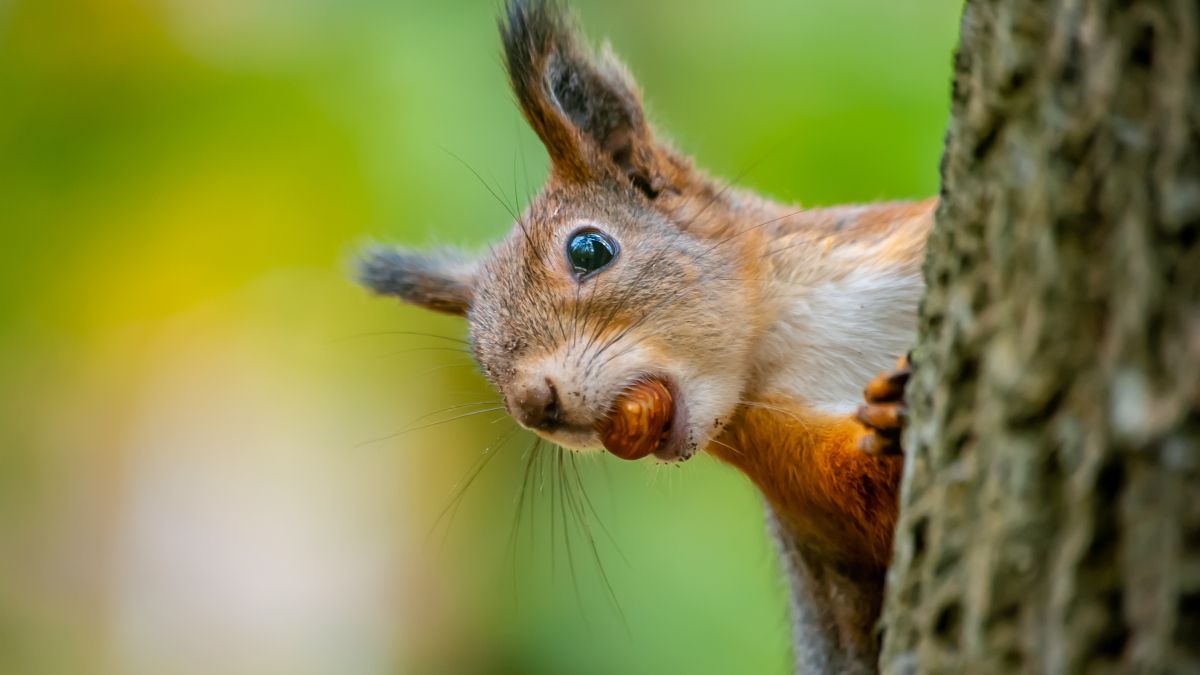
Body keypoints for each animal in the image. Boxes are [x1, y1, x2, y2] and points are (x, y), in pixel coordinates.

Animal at [358, 2, 932, 673]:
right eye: (478, 357)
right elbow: (867, 509)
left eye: (589, 249)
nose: (534, 406)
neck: (799, 332)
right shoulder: (797, 474)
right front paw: (891, 415)